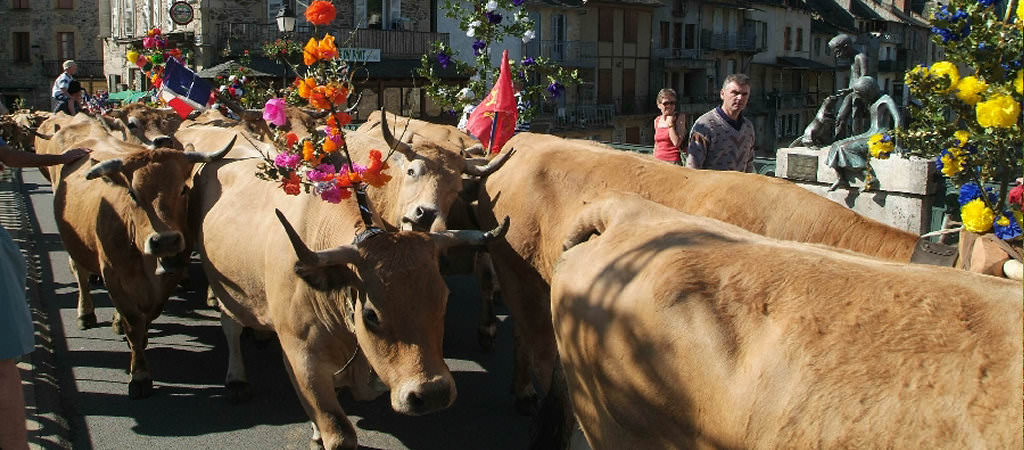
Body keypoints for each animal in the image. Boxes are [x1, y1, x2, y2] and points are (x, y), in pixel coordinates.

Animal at [40, 115, 233, 397]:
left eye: (183, 190)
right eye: (132, 194)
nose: (165, 241)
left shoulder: (168, 277)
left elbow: (148, 315)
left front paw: (141, 339)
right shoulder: (113, 276)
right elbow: (133, 320)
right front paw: (140, 374)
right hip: (73, 244)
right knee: (81, 275)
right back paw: (85, 314)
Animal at [190, 156, 509, 448]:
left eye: (443, 300)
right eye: (371, 314)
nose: (432, 394)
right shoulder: (301, 355)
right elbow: (338, 431)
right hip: (225, 289)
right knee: (231, 326)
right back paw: (237, 380)